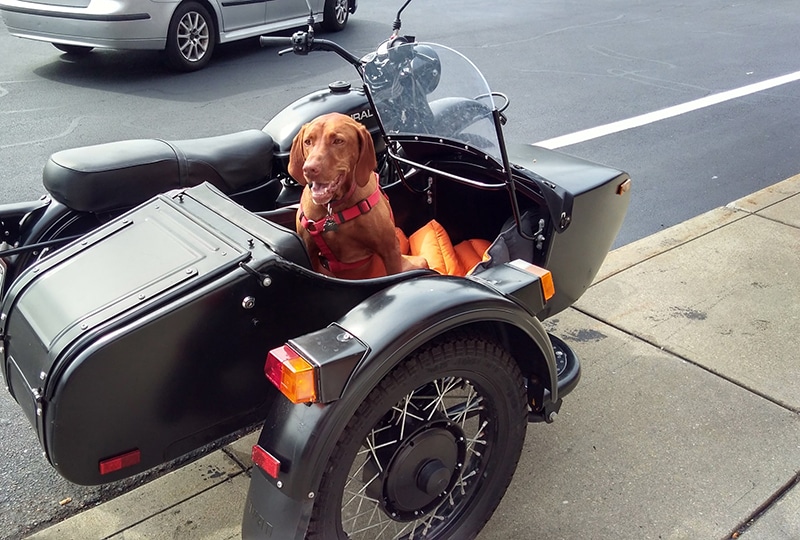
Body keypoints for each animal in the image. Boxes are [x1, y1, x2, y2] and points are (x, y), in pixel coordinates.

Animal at [290, 112, 422, 280]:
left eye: (338, 141)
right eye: (307, 141)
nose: (309, 169)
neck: (333, 207)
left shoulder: (390, 250)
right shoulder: (310, 252)